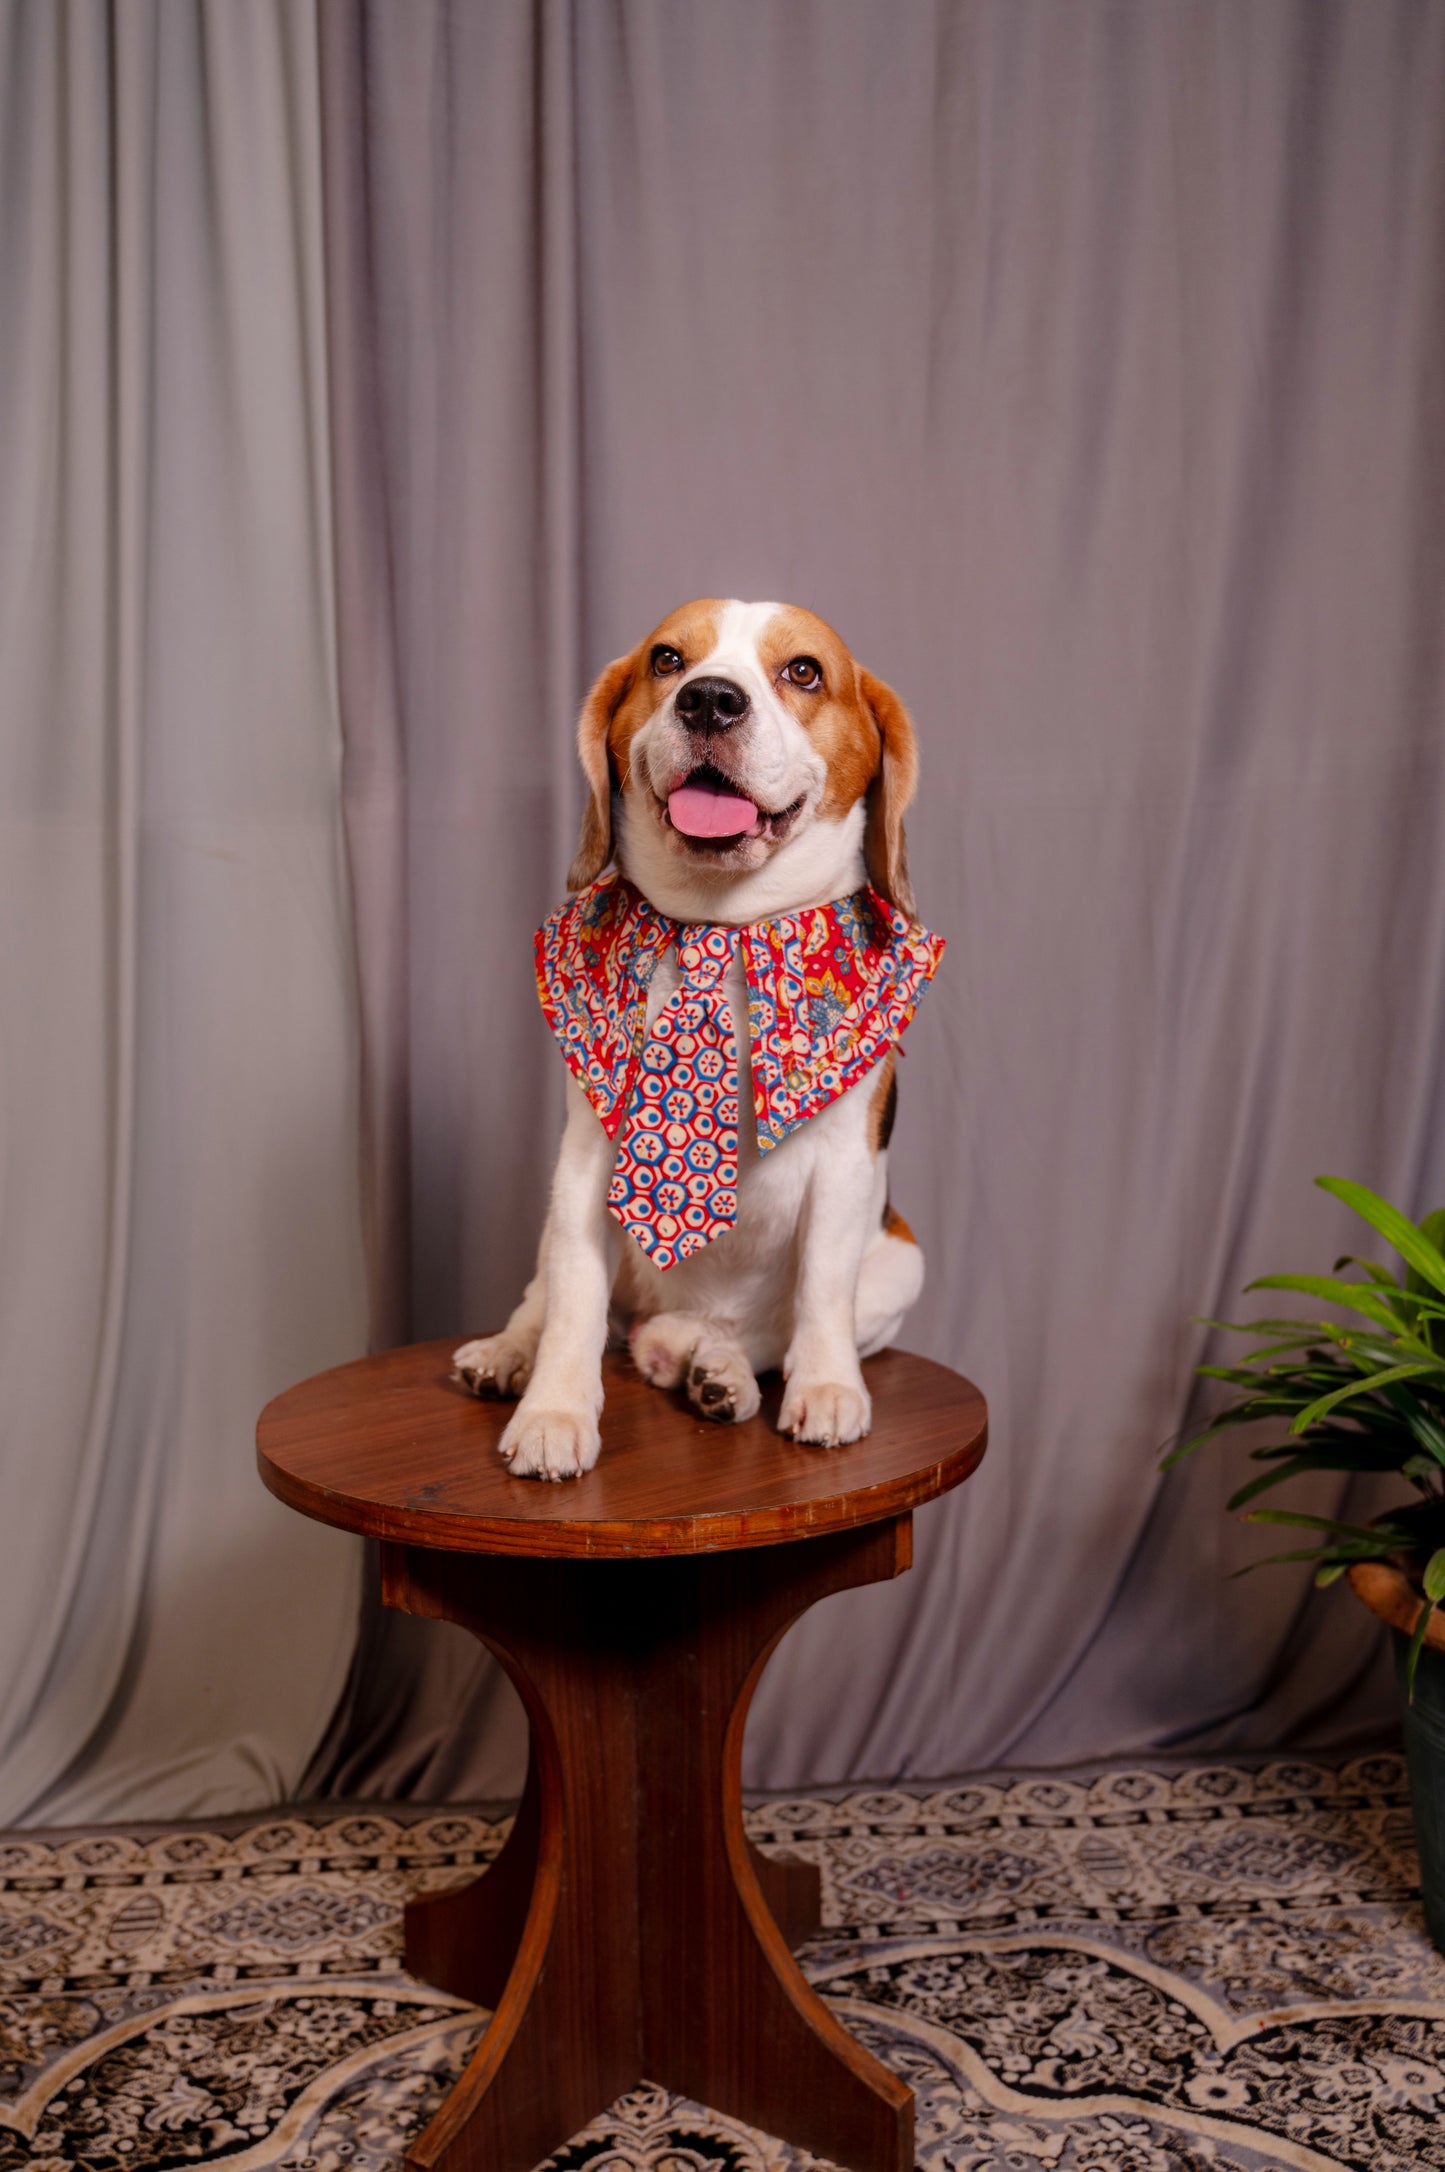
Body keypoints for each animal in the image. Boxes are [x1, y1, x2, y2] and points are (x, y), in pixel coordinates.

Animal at [456, 603, 943, 1485]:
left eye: (804, 672)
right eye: (666, 660)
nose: (709, 700)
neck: (724, 924)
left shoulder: (847, 1166)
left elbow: (821, 1289)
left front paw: (825, 1391)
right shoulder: (588, 1161)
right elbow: (573, 1301)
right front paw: (552, 1412)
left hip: (900, 1261)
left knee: (758, 1337)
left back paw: (712, 1368)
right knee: (545, 1301)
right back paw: (514, 1354)